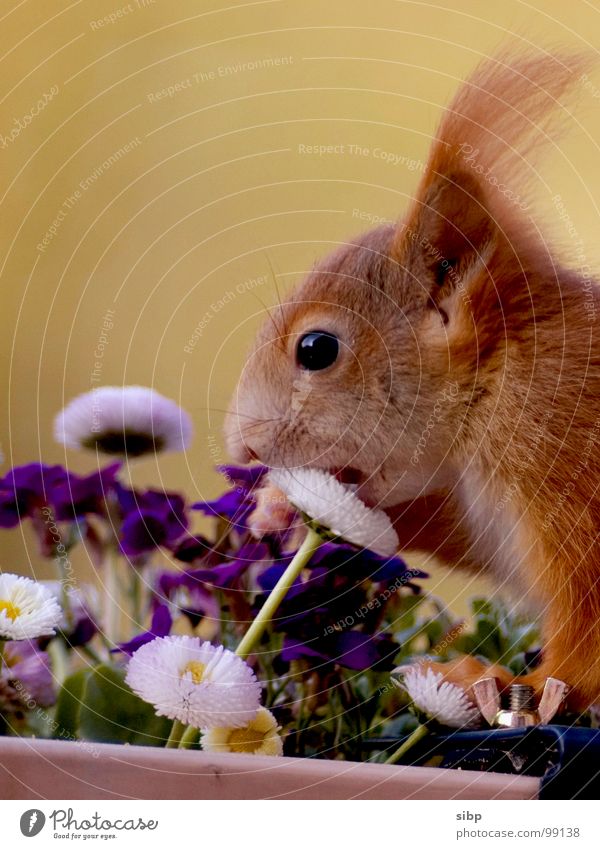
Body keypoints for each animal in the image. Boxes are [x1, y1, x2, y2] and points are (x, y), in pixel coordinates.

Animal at [224, 53, 600, 712]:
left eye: (317, 349)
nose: (241, 446)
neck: (499, 377)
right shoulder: (484, 511)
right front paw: (277, 505)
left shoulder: (564, 457)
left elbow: (585, 639)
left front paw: (509, 687)